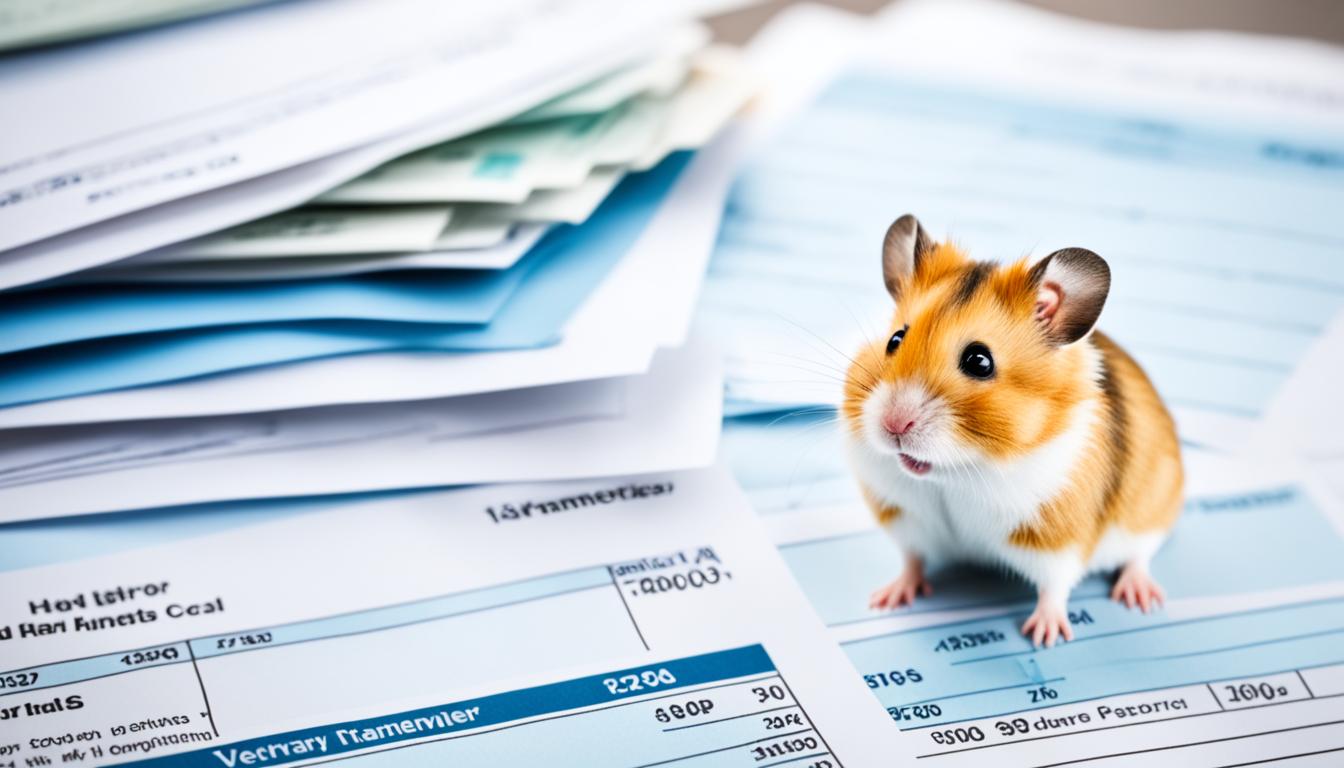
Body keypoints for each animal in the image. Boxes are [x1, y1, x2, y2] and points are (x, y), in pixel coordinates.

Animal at [842, 213, 1183, 647]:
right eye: (894, 340)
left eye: (979, 361)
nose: (893, 425)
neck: (958, 473)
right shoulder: (905, 519)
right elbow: (911, 560)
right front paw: (885, 600)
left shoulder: (1060, 541)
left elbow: (1055, 587)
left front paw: (1044, 637)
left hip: (1151, 508)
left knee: (1140, 555)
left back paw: (1141, 597)